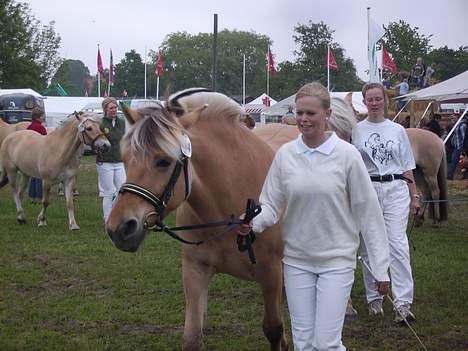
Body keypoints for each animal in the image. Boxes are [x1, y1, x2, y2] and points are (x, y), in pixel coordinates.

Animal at [106, 89, 288, 350]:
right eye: (126, 159)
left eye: (164, 161)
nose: (119, 229)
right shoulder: (194, 271)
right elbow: (192, 337)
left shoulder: (271, 274)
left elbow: (274, 329)